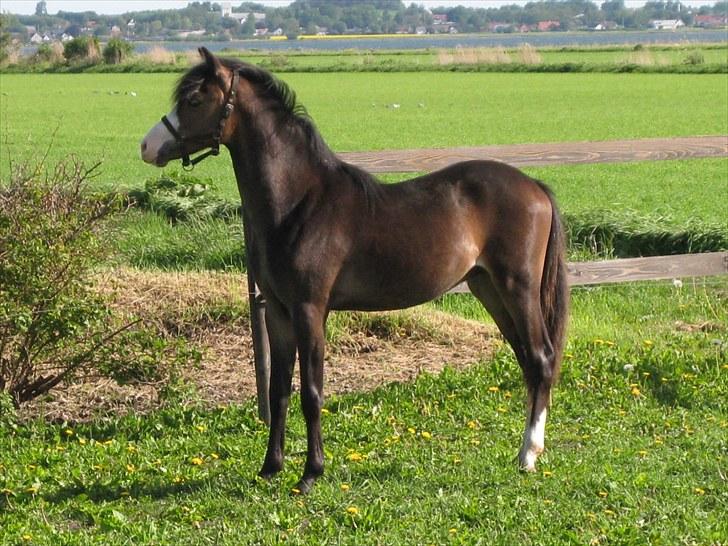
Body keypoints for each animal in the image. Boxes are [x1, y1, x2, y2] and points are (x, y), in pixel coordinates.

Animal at [138, 47, 568, 492]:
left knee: (541, 358)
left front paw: (310, 473)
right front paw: (271, 467)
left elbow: (312, 391)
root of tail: (535, 187)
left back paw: (528, 456)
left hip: (517, 288)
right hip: (488, 289)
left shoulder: (310, 310)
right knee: (527, 361)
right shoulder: (278, 313)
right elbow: (278, 391)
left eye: (194, 100)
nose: (147, 146)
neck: (300, 203)